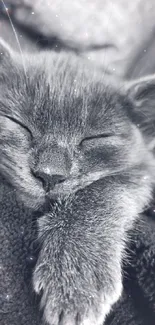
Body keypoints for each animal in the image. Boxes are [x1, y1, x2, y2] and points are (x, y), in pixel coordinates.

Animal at [0, 38, 155, 324]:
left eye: (94, 138)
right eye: (19, 123)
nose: (49, 174)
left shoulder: (145, 170)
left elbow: (105, 187)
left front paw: (76, 278)